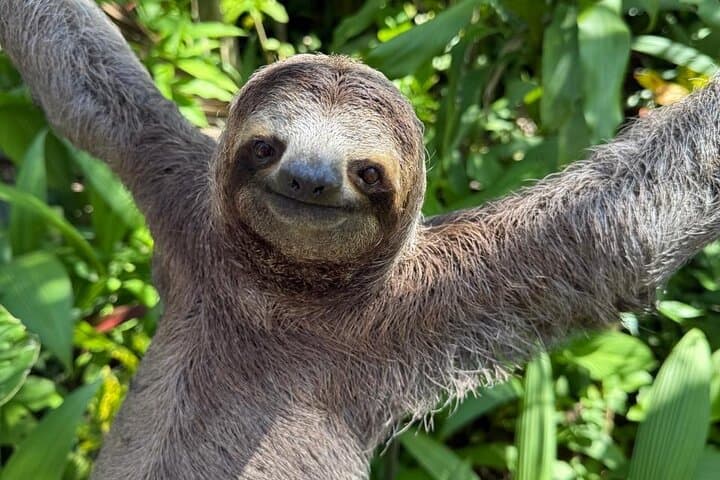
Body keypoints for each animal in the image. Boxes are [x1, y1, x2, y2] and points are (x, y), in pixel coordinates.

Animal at [2, 1, 720, 479]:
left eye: (366, 172)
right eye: (267, 147)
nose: (309, 178)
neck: (277, 290)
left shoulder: (441, 293)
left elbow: (614, 231)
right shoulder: (178, 191)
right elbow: (78, 77)